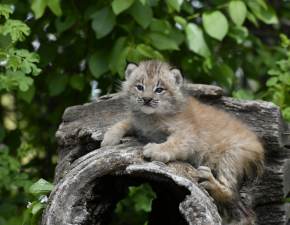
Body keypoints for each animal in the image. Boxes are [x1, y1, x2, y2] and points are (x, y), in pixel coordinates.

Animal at [101, 59, 264, 223]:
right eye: (139, 87)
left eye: (159, 89)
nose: (147, 99)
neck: (150, 117)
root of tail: (260, 148)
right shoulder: (139, 123)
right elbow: (125, 121)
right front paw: (109, 137)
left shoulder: (187, 135)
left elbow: (173, 143)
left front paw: (155, 150)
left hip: (231, 156)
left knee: (235, 197)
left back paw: (209, 180)